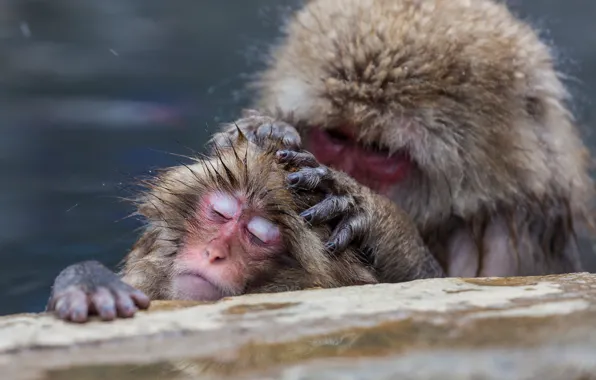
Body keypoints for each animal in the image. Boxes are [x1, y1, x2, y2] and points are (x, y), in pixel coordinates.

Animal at [213, 0, 592, 276]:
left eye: (378, 151)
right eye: (335, 136)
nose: (340, 166)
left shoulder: (511, 231)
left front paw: (379, 220)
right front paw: (269, 128)